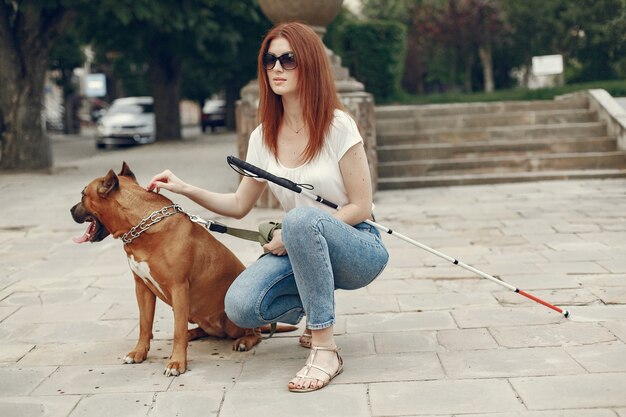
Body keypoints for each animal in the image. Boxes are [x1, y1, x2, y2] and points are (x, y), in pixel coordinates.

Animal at [71, 162, 292, 374]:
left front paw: (176, 363)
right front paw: (139, 352)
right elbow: (144, 324)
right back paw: (192, 333)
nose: (71, 210)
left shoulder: (178, 287)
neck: (141, 228)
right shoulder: (142, 288)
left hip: (232, 320)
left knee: (254, 332)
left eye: (83, 194)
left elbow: (177, 329)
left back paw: (244, 340)